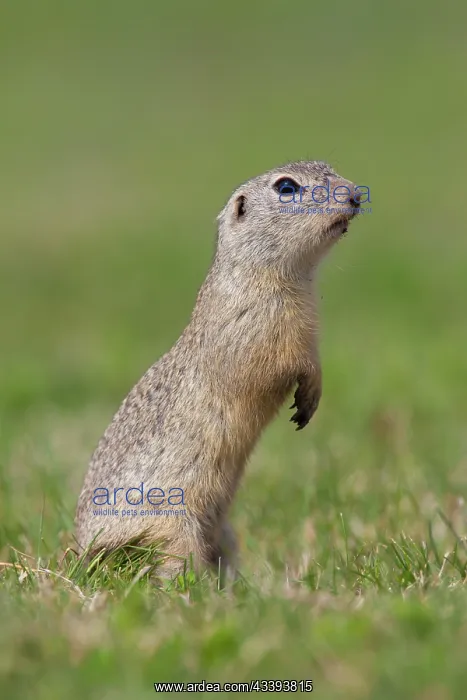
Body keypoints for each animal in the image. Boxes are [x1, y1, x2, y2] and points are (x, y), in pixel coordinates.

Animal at [75, 160, 362, 581]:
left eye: (328, 165)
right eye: (286, 187)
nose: (356, 193)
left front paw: (314, 394)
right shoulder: (253, 329)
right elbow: (276, 364)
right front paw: (306, 390)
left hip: (222, 531)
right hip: (172, 527)